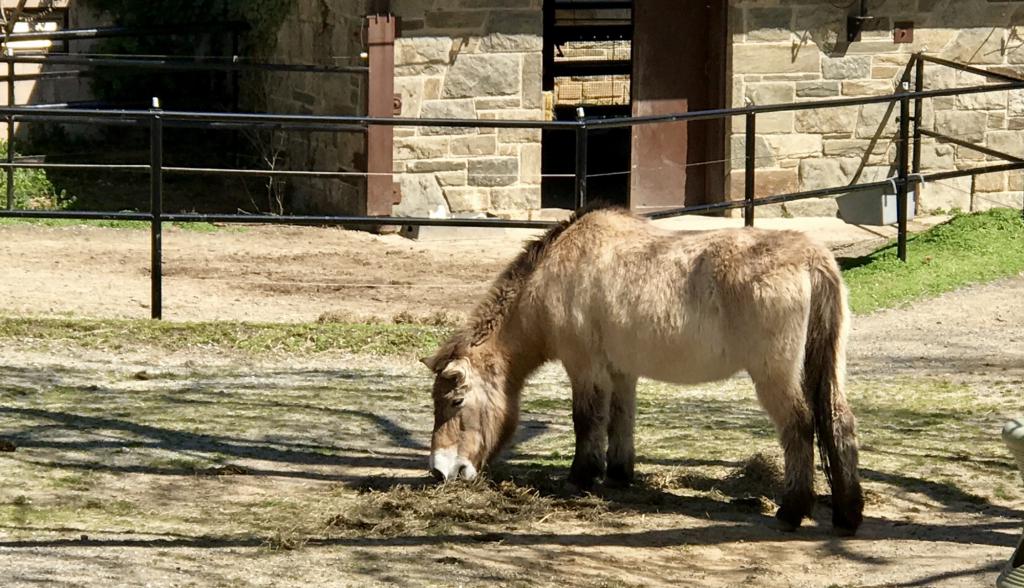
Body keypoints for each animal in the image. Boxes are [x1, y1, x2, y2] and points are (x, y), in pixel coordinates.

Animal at [419, 205, 860, 532]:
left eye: (456, 401)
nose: (440, 471)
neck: (554, 273)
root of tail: (812, 258)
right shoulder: (620, 372)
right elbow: (621, 419)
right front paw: (618, 474)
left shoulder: (585, 367)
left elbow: (587, 420)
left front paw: (580, 477)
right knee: (838, 421)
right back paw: (847, 515)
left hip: (774, 376)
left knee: (800, 426)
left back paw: (792, 511)